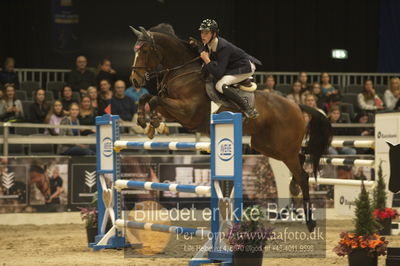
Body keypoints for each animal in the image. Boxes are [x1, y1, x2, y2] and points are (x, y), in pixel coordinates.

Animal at [128, 23, 332, 232]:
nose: (134, 80)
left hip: (283, 147)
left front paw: (153, 124)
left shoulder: (187, 112)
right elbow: (147, 98)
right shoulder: (174, 111)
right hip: (265, 145)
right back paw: (294, 190)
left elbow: (154, 100)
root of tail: (297, 105)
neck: (182, 72)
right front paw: (149, 124)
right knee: (300, 160)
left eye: (144, 51)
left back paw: (310, 221)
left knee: (303, 174)